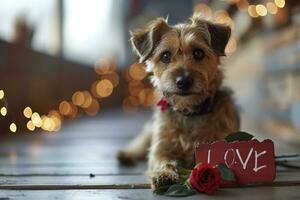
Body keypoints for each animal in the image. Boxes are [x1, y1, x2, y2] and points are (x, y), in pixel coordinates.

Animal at [117, 13, 239, 189]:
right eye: (165, 56)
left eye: (198, 53)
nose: (183, 81)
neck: (189, 112)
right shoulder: (161, 147)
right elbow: (162, 160)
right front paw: (164, 174)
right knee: (141, 141)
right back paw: (126, 153)